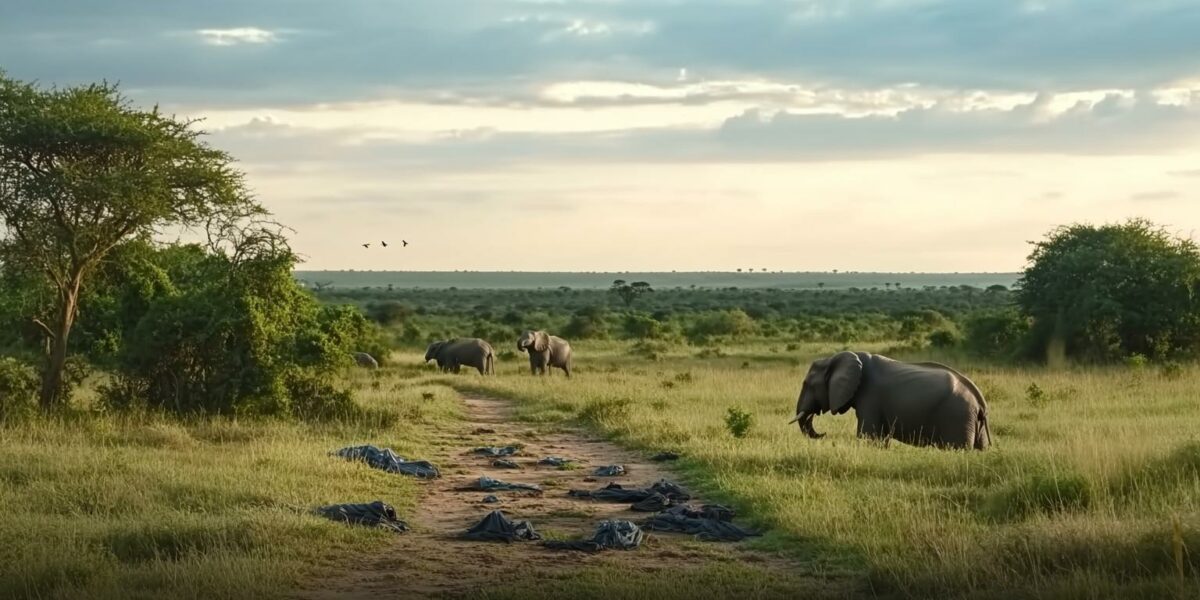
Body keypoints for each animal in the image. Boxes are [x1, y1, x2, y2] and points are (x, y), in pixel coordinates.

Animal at [787, 350, 993, 451]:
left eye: (807, 384)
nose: (824, 434)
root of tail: (980, 402)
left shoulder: (870, 396)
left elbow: (868, 435)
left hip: (957, 416)